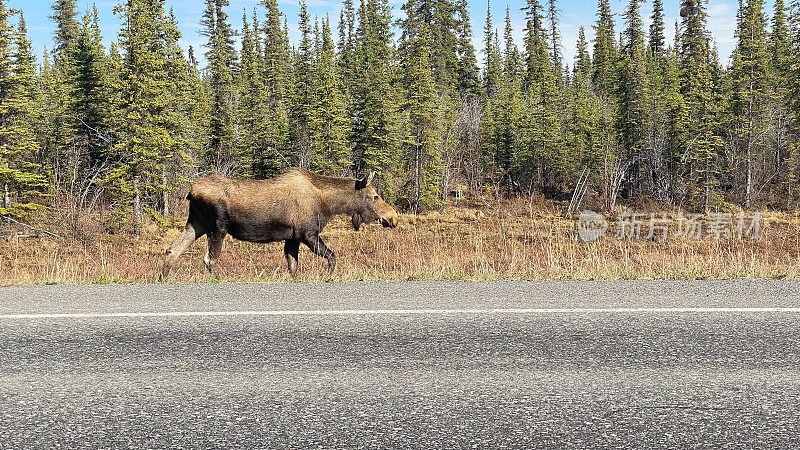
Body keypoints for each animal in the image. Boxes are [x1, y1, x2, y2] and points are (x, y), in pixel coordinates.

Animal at [162, 167, 400, 280]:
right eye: (375, 196)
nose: (393, 217)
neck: (329, 205)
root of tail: (190, 192)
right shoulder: (308, 233)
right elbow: (332, 257)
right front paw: (329, 276)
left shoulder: (292, 237)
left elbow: (293, 267)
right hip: (217, 226)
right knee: (209, 259)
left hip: (196, 223)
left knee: (172, 250)